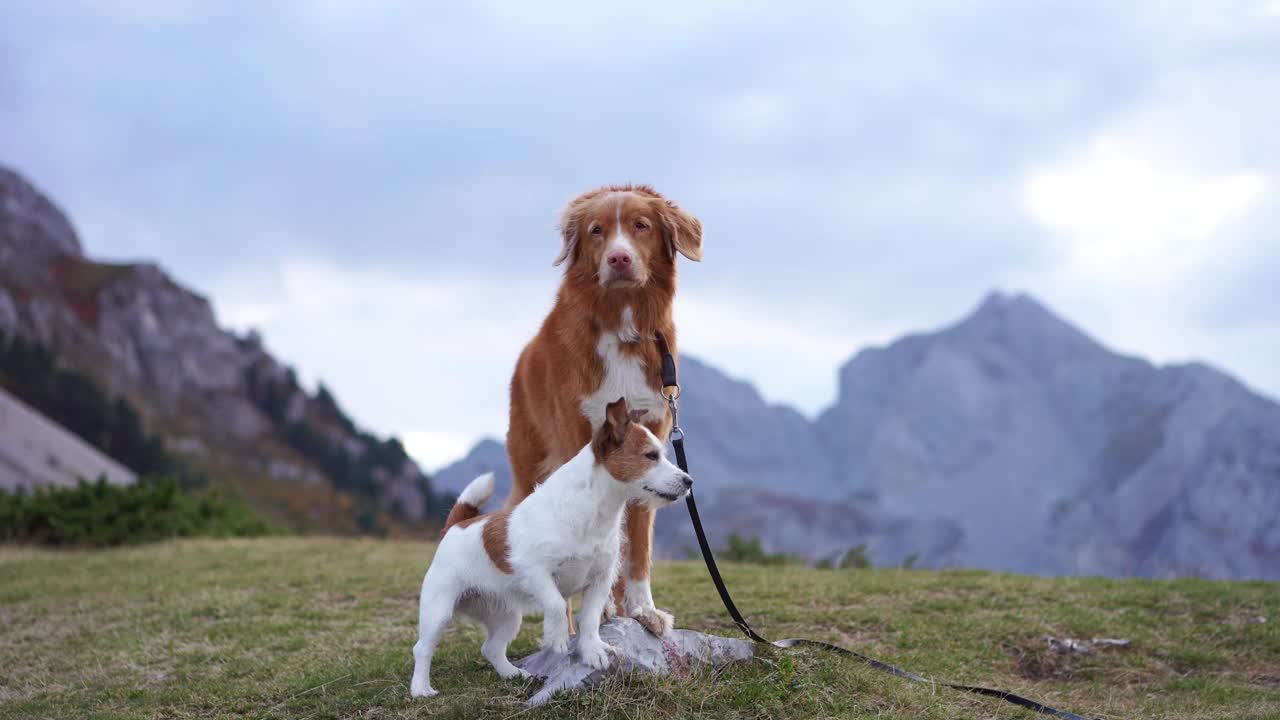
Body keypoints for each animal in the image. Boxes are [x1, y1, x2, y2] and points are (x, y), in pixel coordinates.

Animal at [409, 394, 691, 696]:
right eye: (651, 455)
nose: (689, 481)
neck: (591, 512)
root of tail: (456, 525)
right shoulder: (535, 571)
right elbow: (556, 604)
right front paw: (557, 638)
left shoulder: (600, 581)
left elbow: (590, 620)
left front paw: (592, 651)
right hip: (438, 610)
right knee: (422, 649)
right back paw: (421, 689)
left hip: (507, 617)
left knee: (491, 648)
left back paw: (513, 674)